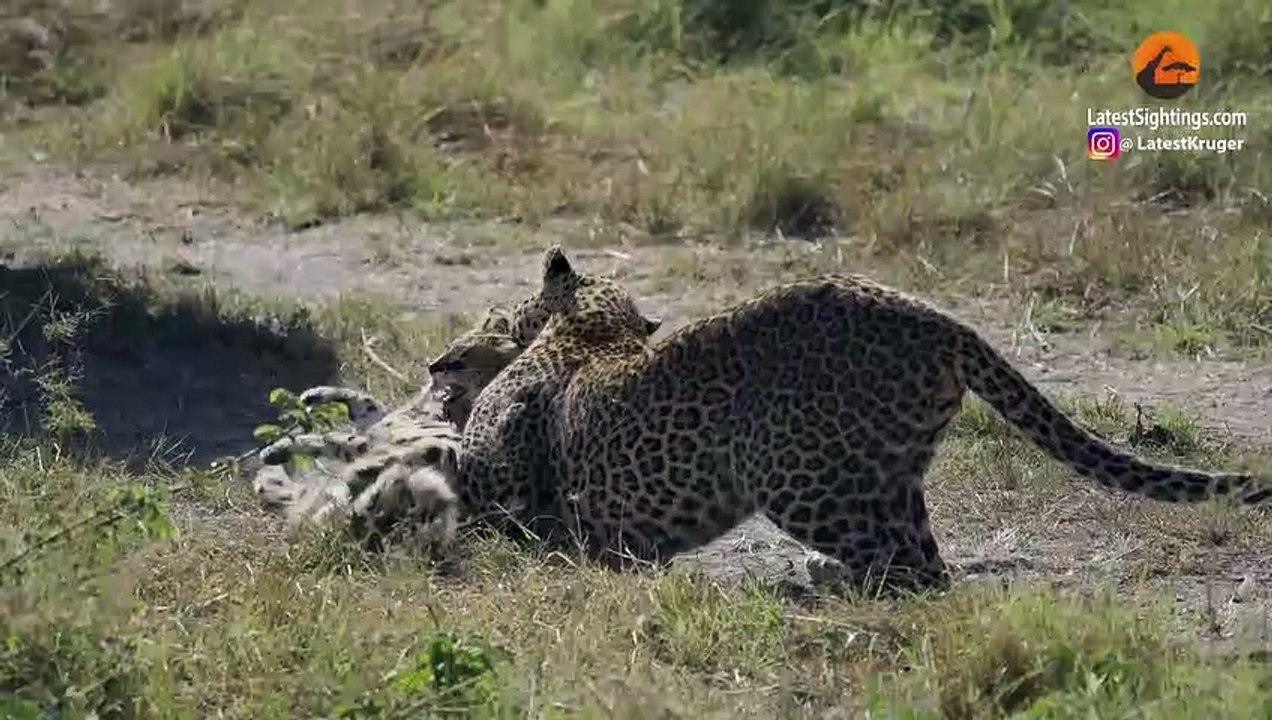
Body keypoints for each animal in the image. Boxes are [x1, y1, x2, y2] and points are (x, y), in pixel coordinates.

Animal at [451, 245, 1270, 592]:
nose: (443, 365)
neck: (591, 332)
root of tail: (943, 323)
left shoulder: (503, 486)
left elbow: (481, 497)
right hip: (889, 474)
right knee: (923, 564)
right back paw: (825, 578)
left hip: (797, 475)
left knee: (914, 572)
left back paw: (814, 582)